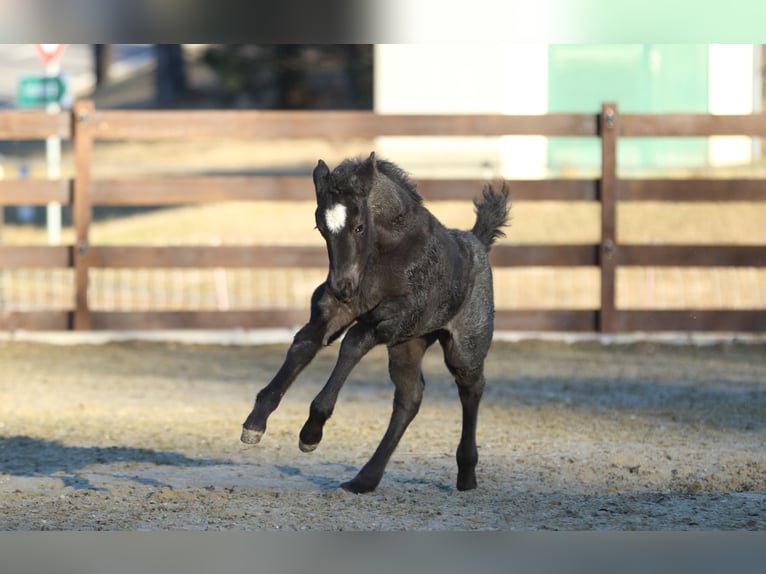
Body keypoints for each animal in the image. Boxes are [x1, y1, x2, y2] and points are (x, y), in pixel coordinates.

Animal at [243, 154, 512, 496]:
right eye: (321, 227)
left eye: (359, 226)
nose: (342, 285)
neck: (390, 252)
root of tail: (478, 241)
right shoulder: (335, 308)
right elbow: (305, 343)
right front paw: (255, 422)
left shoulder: (395, 316)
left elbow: (353, 342)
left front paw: (311, 432)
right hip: (408, 345)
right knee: (410, 398)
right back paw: (364, 479)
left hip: (464, 348)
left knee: (471, 388)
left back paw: (466, 474)